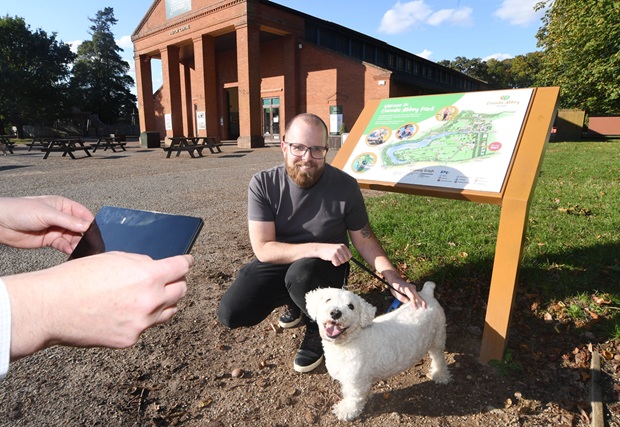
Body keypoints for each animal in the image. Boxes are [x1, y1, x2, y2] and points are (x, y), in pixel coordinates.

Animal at [306, 280, 450, 422]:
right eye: (328, 300)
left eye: (351, 306)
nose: (336, 313)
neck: (348, 343)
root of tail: (427, 294)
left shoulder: (357, 383)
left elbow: (354, 399)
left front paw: (346, 411)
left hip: (438, 336)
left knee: (438, 357)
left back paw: (440, 375)